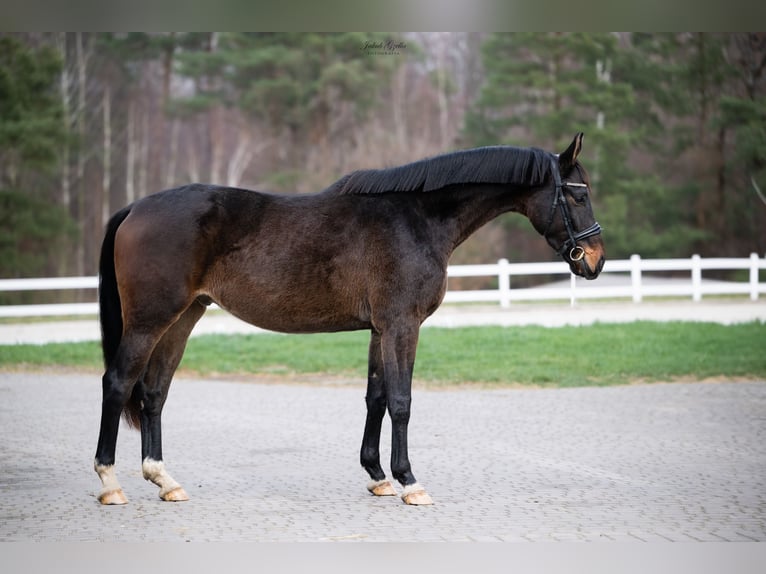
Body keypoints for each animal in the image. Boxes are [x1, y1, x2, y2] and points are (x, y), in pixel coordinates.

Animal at [94, 132, 604, 506]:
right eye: (577, 195)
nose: (595, 260)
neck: (416, 219)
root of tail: (136, 208)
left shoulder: (380, 329)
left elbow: (375, 398)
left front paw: (378, 476)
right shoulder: (402, 325)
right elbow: (401, 400)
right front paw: (409, 481)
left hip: (183, 318)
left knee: (154, 391)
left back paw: (164, 480)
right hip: (149, 321)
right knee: (119, 383)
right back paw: (110, 483)